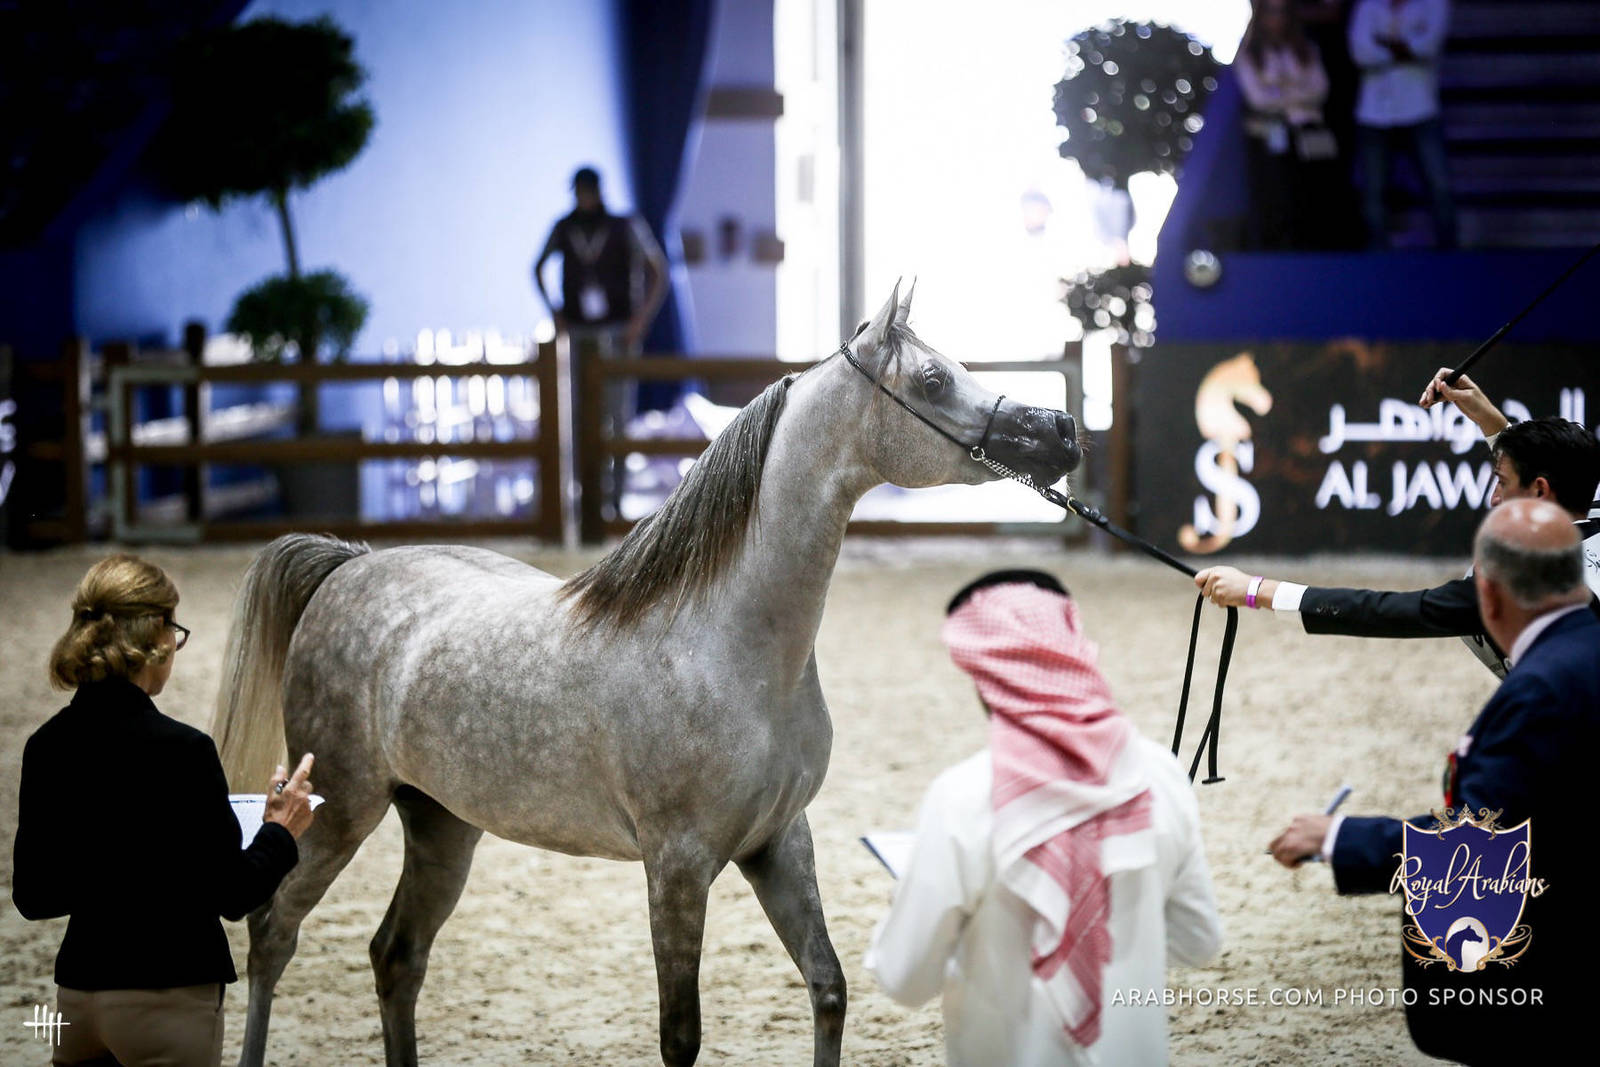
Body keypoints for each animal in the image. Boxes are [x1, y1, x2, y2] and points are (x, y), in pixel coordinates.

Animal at [211, 281, 1081, 1066]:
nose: (1062, 429)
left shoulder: (780, 842)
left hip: (441, 823)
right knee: (271, 933)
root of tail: (348, 565)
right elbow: (680, 1036)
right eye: (932, 380)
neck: (724, 645)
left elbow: (828, 988)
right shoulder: (678, 865)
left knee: (396, 956)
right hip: (337, 810)